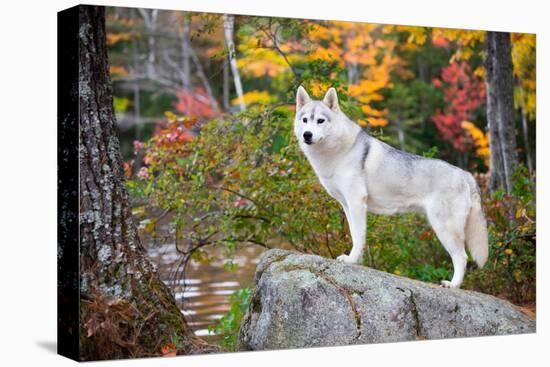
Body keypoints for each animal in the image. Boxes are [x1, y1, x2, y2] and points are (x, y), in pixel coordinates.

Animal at [296, 87, 490, 288]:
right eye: (305, 120)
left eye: (320, 120)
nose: (307, 135)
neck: (337, 152)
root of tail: (466, 175)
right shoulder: (347, 206)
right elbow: (355, 235)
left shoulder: (357, 201)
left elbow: (358, 236)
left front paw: (351, 260)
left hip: (444, 228)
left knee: (462, 257)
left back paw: (453, 285)